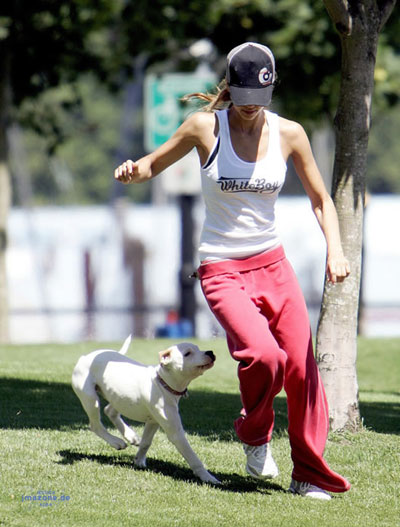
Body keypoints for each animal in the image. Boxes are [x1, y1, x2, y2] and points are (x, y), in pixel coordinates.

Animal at [70, 338, 217, 486]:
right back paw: (116, 441)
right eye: (187, 354)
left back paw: (131, 436)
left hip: (118, 397)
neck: (163, 382)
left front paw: (139, 460)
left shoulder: (153, 421)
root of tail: (85, 357)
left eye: (198, 348)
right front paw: (208, 478)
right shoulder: (175, 433)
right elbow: (192, 457)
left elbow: (146, 442)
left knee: (109, 410)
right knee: (96, 425)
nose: (210, 352)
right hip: (90, 398)